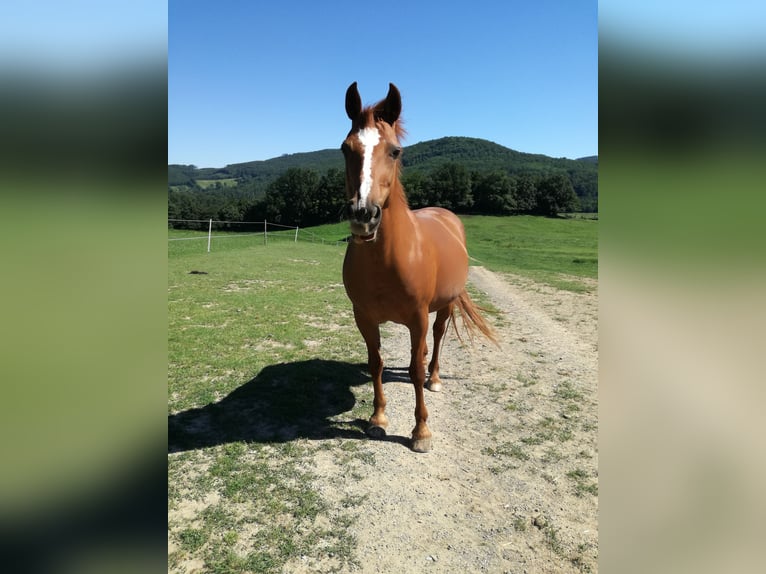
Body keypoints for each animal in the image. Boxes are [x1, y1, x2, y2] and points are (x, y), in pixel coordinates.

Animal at [341, 82, 497, 452]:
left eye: (395, 151)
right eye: (345, 148)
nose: (363, 214)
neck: (388, 260)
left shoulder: (416, 317)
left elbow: (413, 370)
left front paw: (421, 431)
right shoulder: (364, 317)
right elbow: (376, 364)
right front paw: (378, 418)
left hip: (444, 306)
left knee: (437, 339)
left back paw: (434, 377)